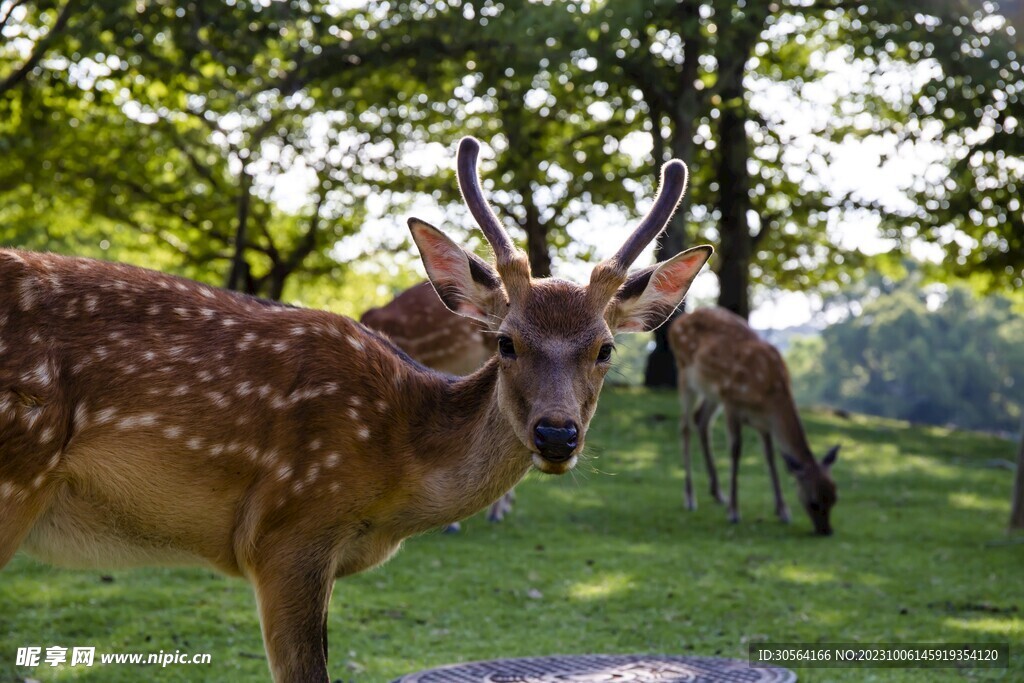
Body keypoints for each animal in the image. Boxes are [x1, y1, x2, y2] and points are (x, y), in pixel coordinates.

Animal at [668, 307, 839, 535]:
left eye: (835, 498)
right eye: (814, 503)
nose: (826, 531)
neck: (770, 392)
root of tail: (677, 322)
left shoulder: (763, 421)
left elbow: (771, 457)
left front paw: (783, 511)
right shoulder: (731, 402)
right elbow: (735, 451)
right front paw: (734, 512)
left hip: (712, 391)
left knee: (701, 420)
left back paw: (717, 493)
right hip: (685, 374)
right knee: (685, 426)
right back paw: (690, 498)